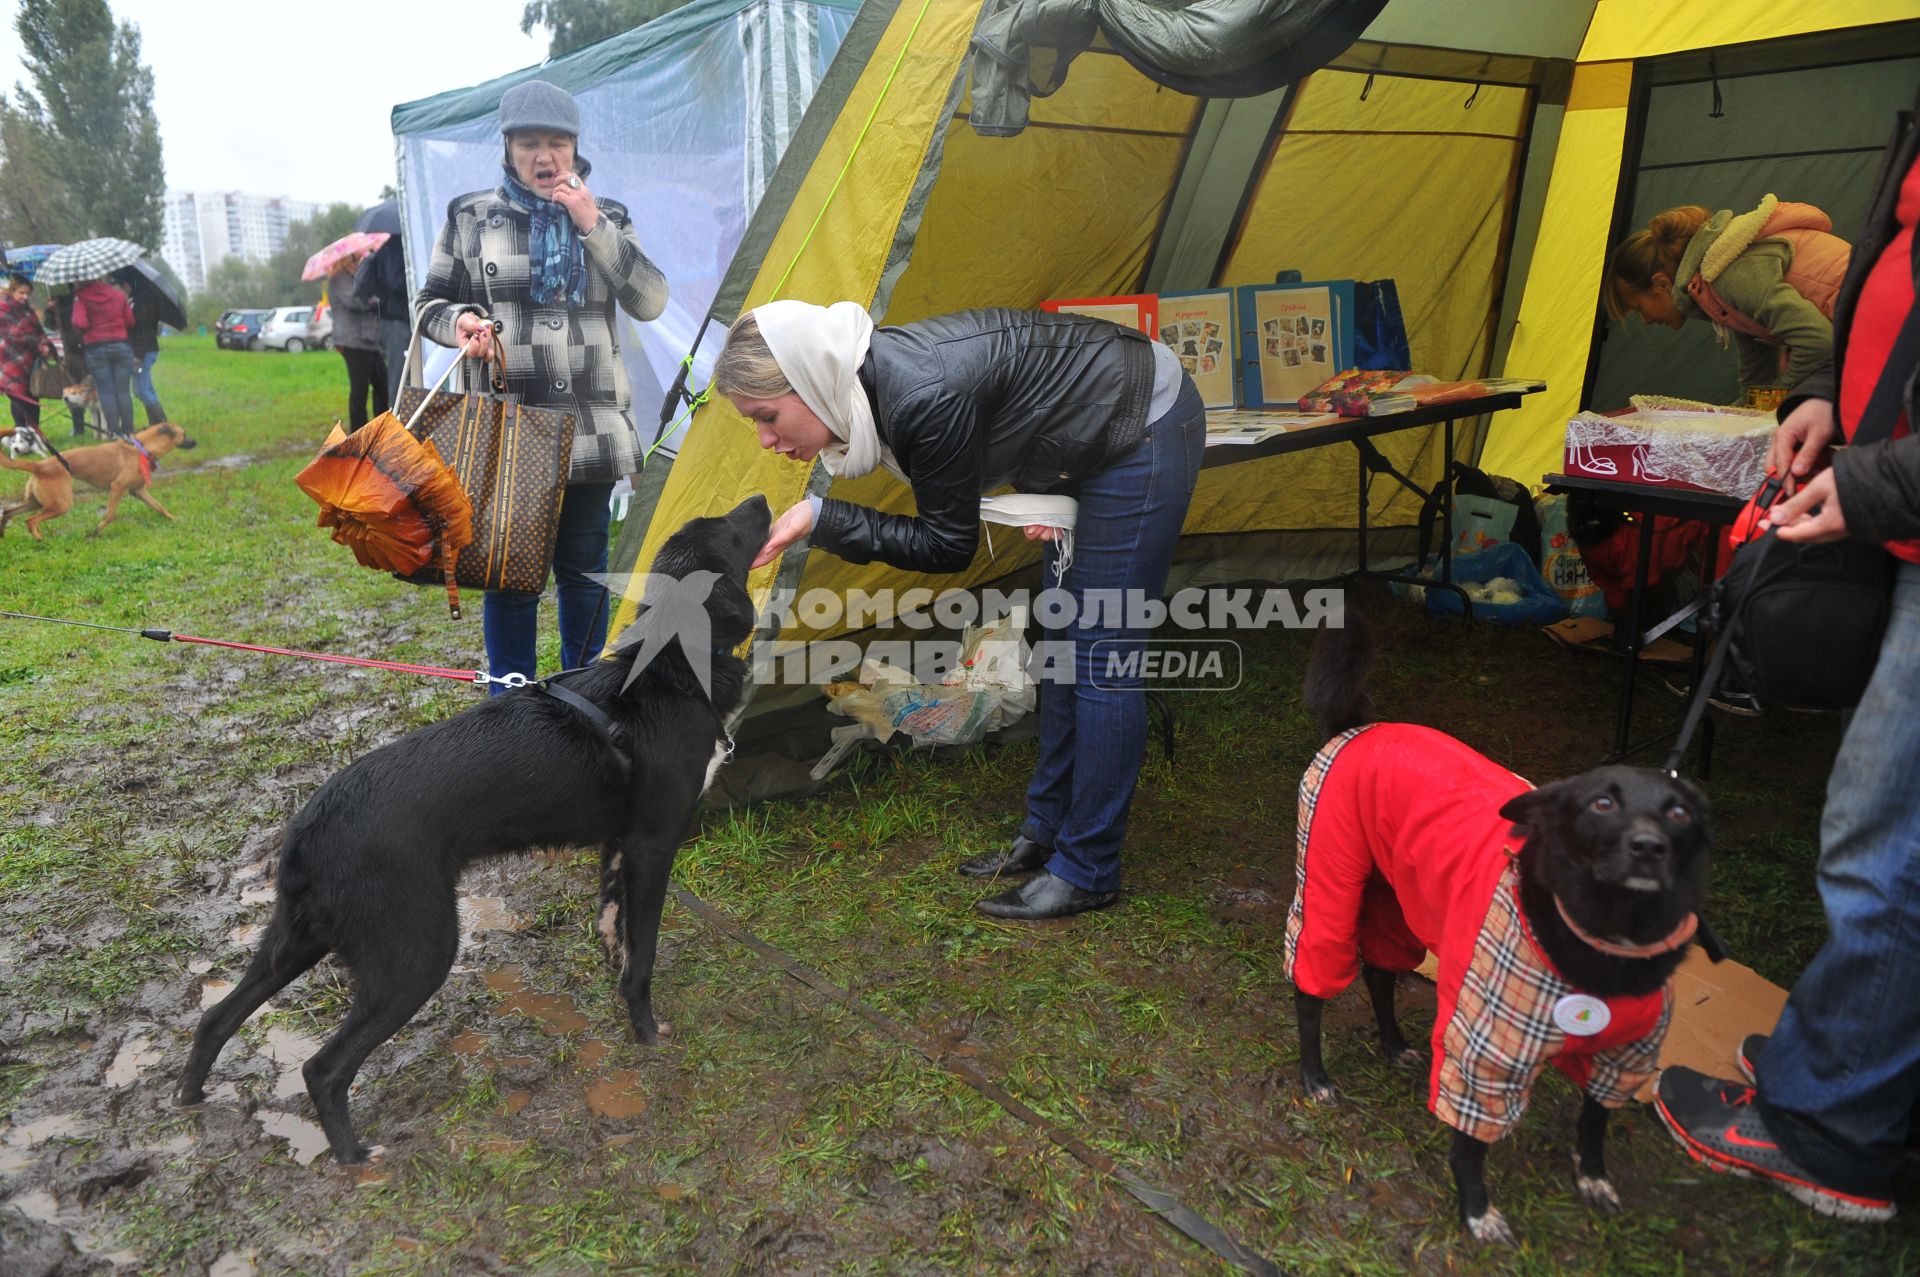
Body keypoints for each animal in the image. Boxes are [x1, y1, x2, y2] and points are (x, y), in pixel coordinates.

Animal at [0, 420, 198, 533]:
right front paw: (95, 532)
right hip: (61, 504)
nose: (196, 442)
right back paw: (39, 538)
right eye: (184, 434)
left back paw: (3, 533)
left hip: (37, 502)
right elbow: (109, 515)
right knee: (30, 520)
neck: (141, 448)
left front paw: (173, 519)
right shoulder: (117, 488)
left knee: (9, 512)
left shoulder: (137, 490)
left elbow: (159, 506)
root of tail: (39, 465)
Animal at [174, 495, 771, 1167]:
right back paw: (356, 1158)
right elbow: (642, 957)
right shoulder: (652, 845)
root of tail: (308, 825)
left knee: (217, 1018)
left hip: (297, 939)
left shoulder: (618, 847)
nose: (763, 500)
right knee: (323, 1068)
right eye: (730, 532)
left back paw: (192, 1098)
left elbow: (614, 936)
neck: (665, 672)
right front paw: (646, 1035)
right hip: (417, 954)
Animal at [1290, 618, 1712, 1244]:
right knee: (1312, 986)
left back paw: (1394, 1045)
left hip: (1397, 901)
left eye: (1679, 812)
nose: (1647, 847)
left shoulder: (1625, 1056)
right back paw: (1315, 1074)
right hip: (1329, 884)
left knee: (1380, 973)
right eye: (1601, 803)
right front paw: (1476, 1211)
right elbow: (1470, 1144)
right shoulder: (1487, 1055)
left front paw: (1593, 1178)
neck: (1603, 947)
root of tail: (1359, 727)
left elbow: (1593, 1124)